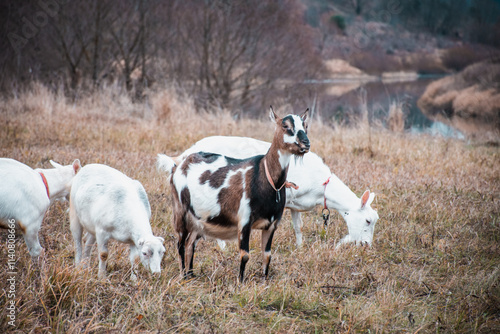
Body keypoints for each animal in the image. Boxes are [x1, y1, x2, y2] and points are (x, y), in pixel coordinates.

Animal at [160, 134, 378, 247]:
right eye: (368, 220)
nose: (366, 245)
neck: (321, 184)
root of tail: (185, 155)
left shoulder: (296, 204)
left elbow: (298, 227)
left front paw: (299, 248)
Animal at [167, 107, 308, 282]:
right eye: (286, 126)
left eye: (305, 125)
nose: (306, 143)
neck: (265, 176)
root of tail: (180, 165)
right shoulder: (244, 220)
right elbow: (245, 255)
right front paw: (240, 282)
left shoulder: (272, 224)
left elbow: (267, 255)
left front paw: (264, 281)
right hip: (180, 211)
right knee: (180, 244)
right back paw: (183, 276)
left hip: (198, 220)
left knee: (190, 244)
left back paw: (191, 275)